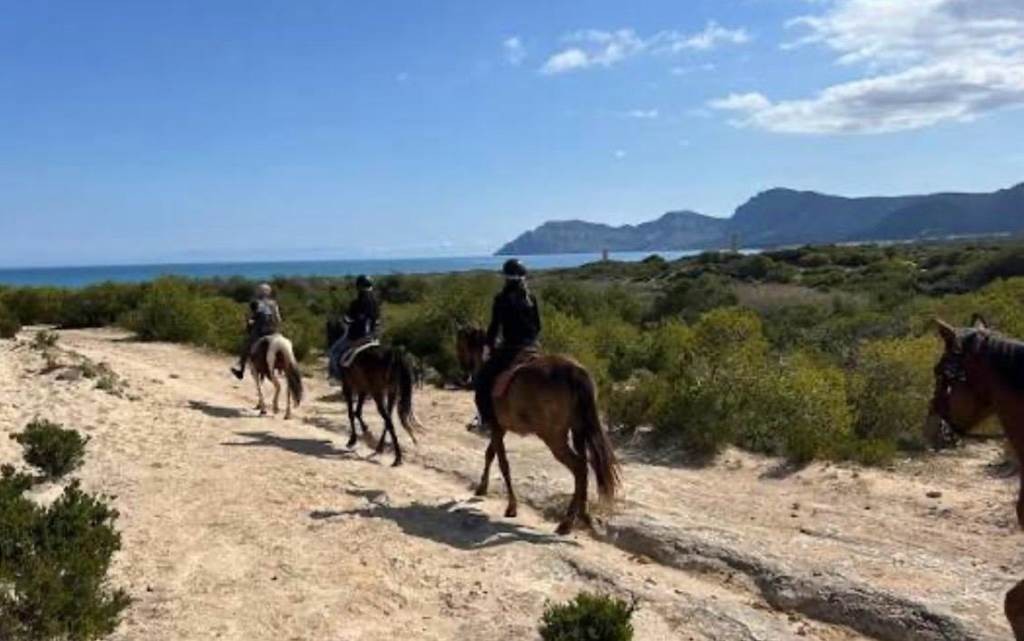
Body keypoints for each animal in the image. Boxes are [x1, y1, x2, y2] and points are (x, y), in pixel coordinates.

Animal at [326, 319, 422, 466]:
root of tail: (393, 354)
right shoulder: (363, 389)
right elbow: (357, 411)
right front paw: (366, 431)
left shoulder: (348, 387)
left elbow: (351, 413)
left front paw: (353, 439)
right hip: (391, 392)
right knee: (388, 419)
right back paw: (381, 448)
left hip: (378, 392)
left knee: (388, 420)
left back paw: (397, 457)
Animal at [456, 332, 620, 534]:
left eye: (460, 345)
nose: (464, 375)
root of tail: (573, 372)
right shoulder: (501, 428)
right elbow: (490, 454)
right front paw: (482, 488)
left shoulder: (496, 426)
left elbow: (503, 463)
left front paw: (511, 506)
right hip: (578, 430)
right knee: (583, 466)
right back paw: (582, 516)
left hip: (553, 436)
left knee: (579, 468)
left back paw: (567, 522)